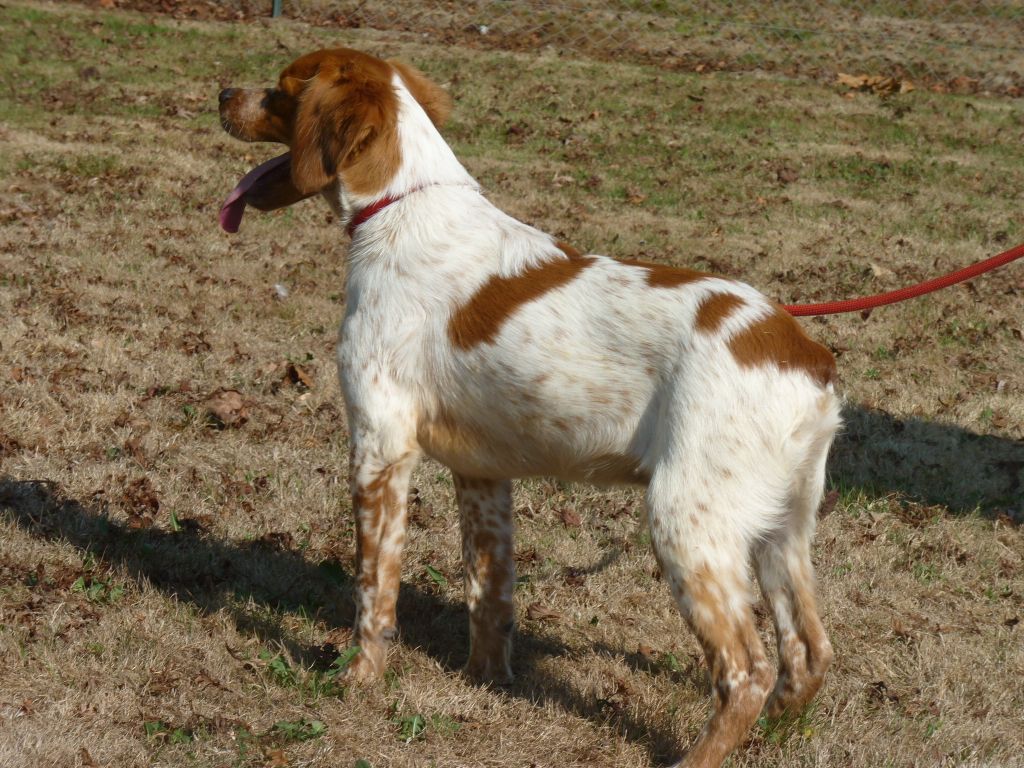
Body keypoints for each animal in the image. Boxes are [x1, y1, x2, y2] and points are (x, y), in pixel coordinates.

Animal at [218, 48, 841, 768]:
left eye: (280, 89)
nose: (221, 94)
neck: (402, 207)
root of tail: (808, 357)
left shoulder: (380, 445)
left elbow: (374, 589)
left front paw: (359, 680)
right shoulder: (483, 473)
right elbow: (489, 590)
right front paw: (485, 681)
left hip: (686, 521)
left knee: (749, 670)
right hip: (780, 530)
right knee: (808, 654)